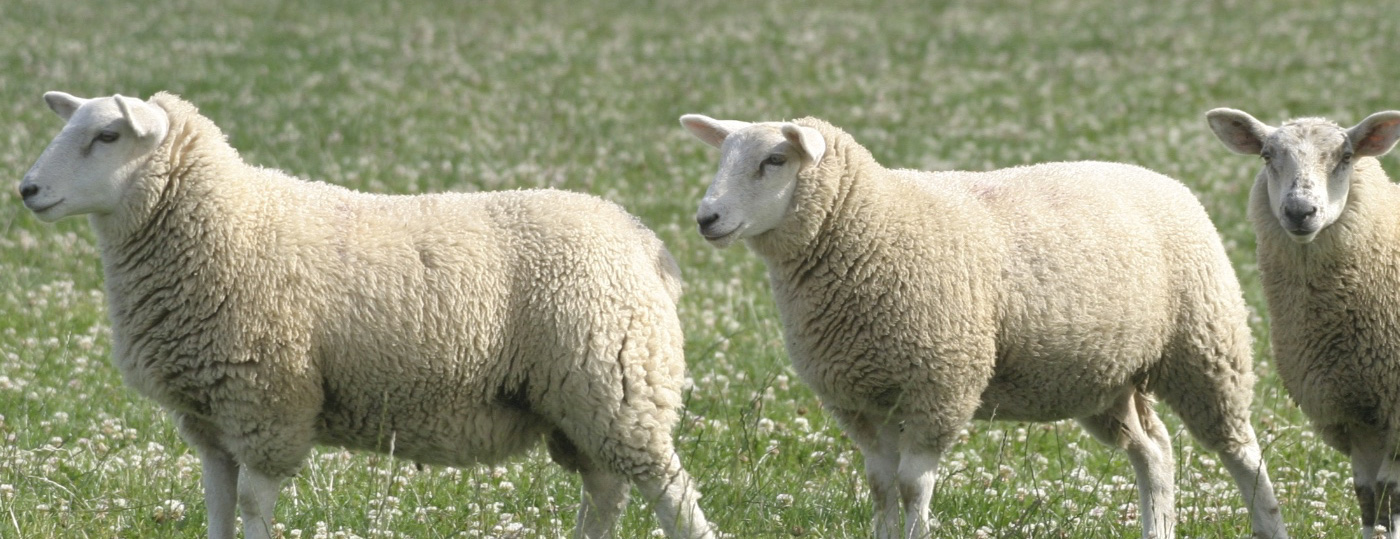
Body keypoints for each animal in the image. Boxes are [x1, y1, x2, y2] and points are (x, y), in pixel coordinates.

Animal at [16, 91, 715, 539]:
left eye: (107, 136)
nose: (26, 189)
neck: (225, 220)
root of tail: (642, 239)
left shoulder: (269, 402)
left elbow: (252, 506)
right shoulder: (210, 415)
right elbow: (216, 507)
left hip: (616, 386)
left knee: (672, 494)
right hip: (578, 403)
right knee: (604, 493)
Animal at [680, 113, 1289, 539]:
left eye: (774, 160)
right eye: (724, 157)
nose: (705, 218)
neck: (871, 227)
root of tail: (1161, 179)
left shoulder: (940, 385)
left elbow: (912, 485)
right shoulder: (859, 399)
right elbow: (880, 485)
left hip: (1204, 346)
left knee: (1242, 451)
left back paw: (1268, 520)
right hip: (1102, 379)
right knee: (1154, 451)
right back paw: (1156, 526)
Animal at [1207, 107, 1400, 539]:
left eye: (1346, 156)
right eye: (1266, 156)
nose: (1299, 212)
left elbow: (1391, 495)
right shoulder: (1355, 414)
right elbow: (1371, 500)